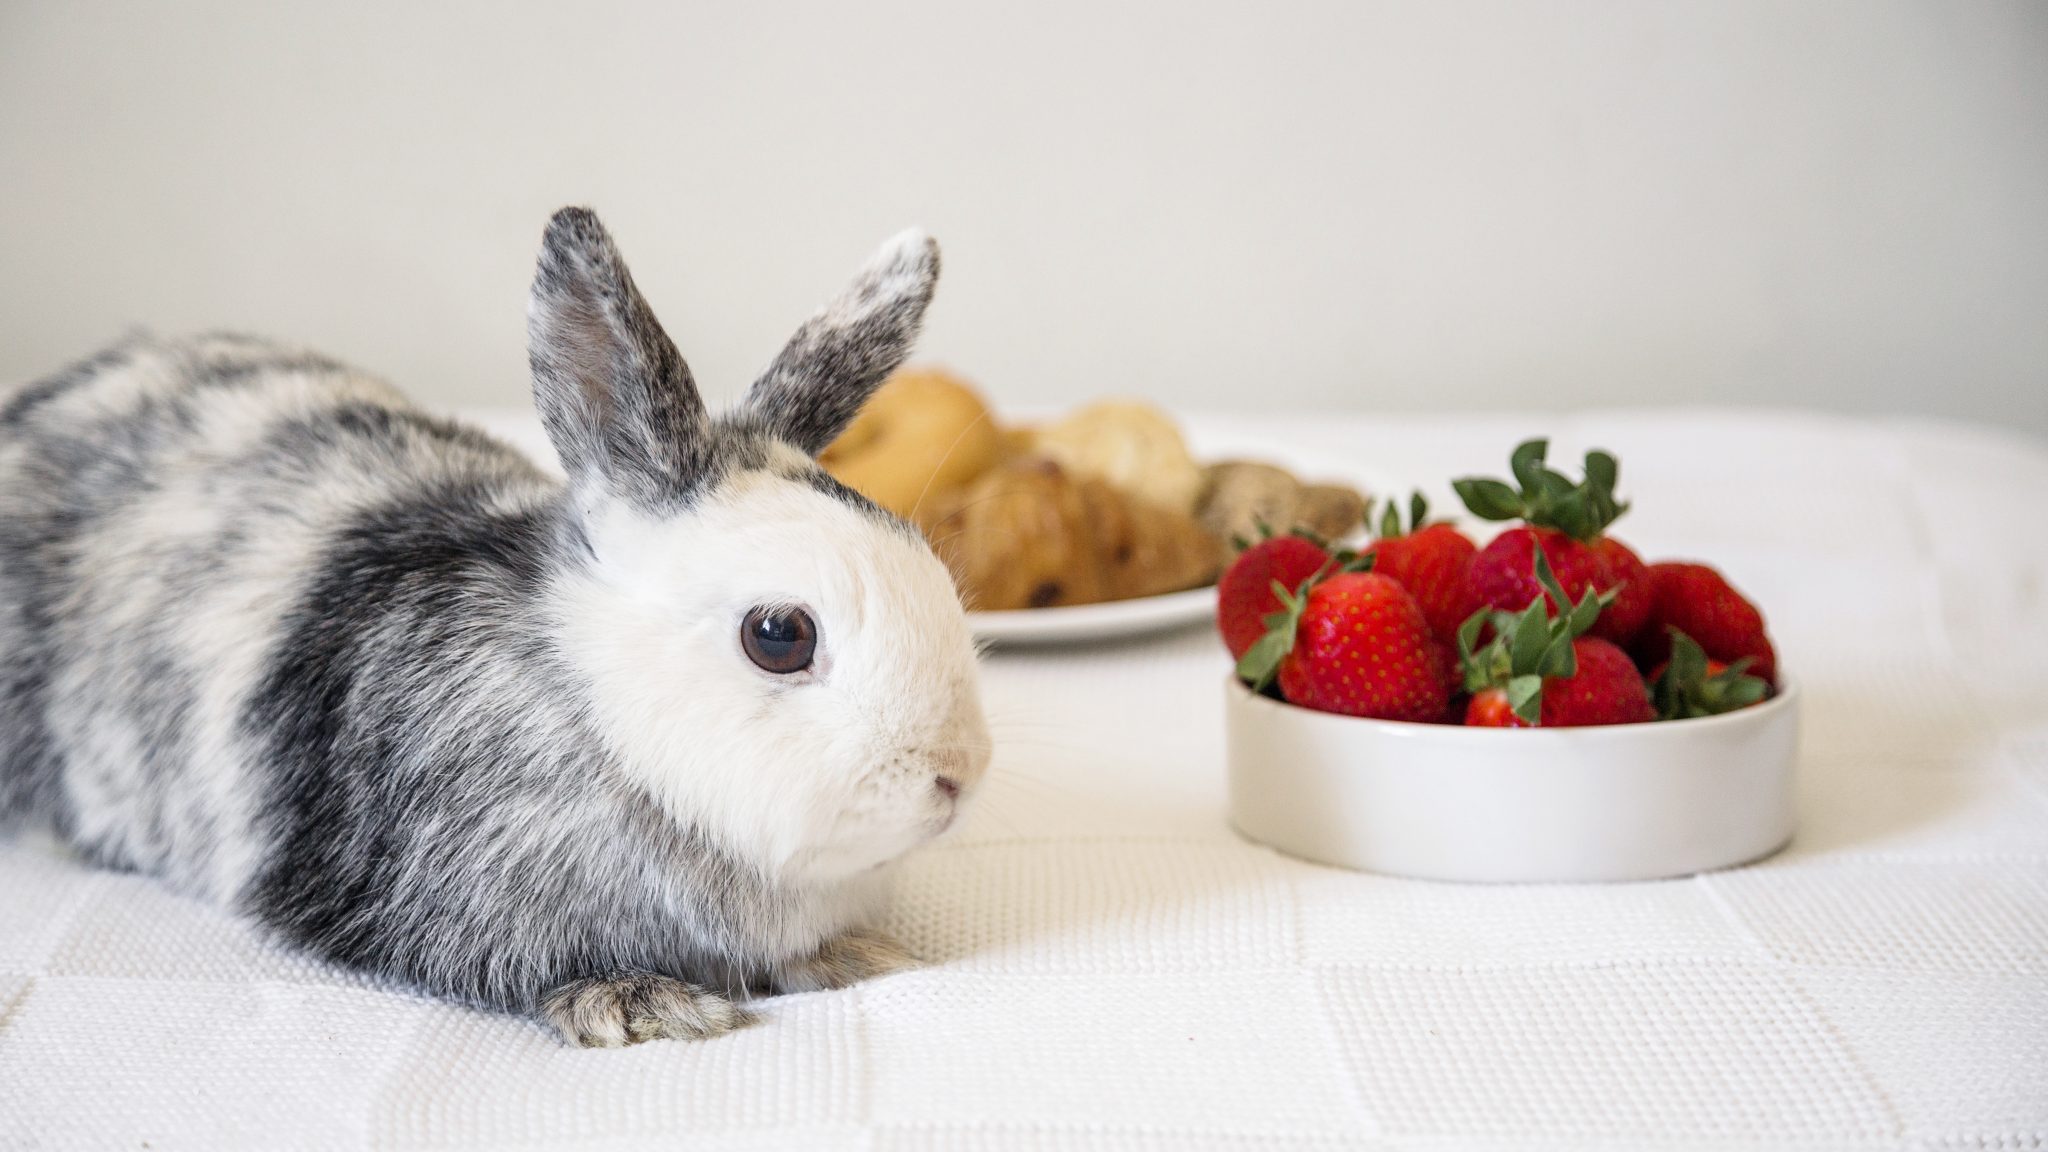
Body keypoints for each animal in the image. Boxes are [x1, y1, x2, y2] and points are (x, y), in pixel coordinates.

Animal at [0, 207, 991, 1046]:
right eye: (779, 635)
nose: (956, 777)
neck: (599, 715)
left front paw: (855, 956)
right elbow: (523, 972)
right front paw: (646, 1007)